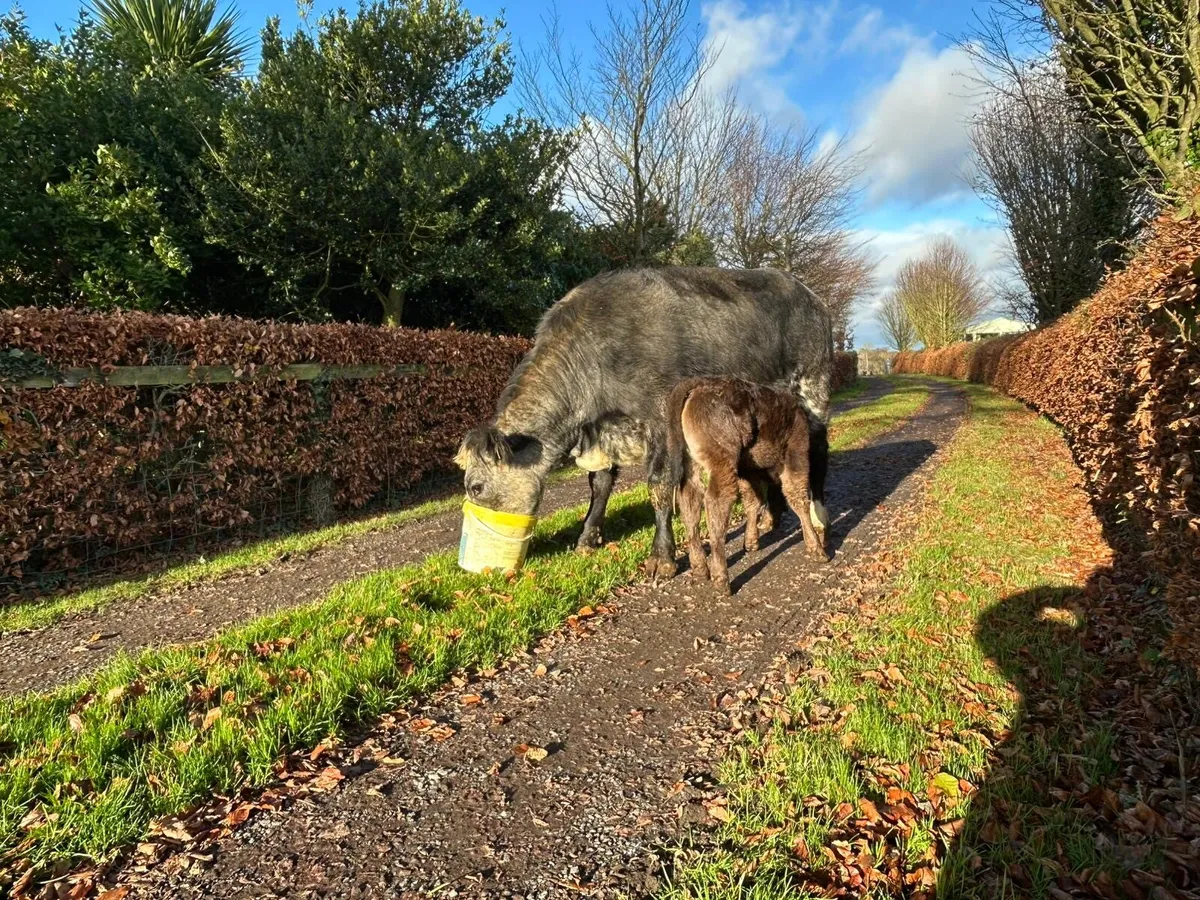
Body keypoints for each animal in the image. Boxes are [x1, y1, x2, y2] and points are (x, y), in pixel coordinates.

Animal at [666, 377, 830, 594]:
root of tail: (696, 385)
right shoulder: (795, 457)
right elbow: (797, 498)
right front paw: (818, 550)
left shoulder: (750, 472)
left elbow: (753, 502)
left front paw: (751, 543)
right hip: (722, 466)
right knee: (716, 503)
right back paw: (722, 580)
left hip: (692, 466)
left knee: (690, 506)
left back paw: (701, 570)